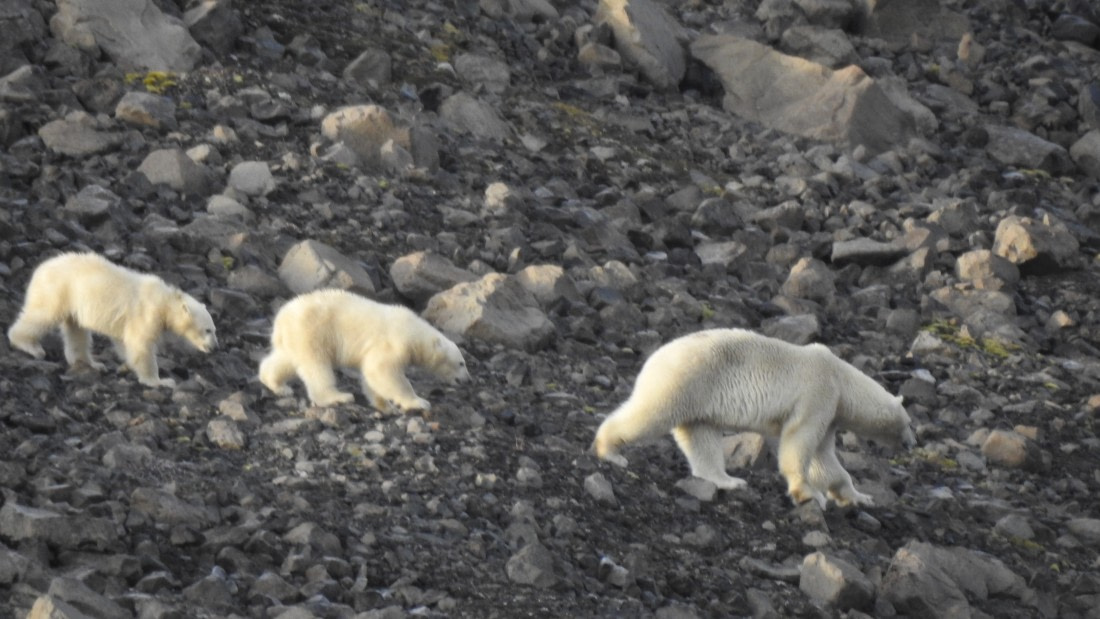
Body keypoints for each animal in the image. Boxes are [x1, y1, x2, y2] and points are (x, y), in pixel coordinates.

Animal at [7, 252, 218, 388]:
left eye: (214, 329)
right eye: (208, 329)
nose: (215, 347)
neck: (166, 301)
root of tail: (40, 269)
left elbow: (123, 342)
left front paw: (127, 365)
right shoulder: (146, 313)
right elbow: (140, 344)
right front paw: (160, 381)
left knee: (76, 332)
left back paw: (91, 363)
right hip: (58, 290)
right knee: (42, 316)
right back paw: (29, 346)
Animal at [258, 288, 471, 412]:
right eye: (461, 363)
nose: (467, 380)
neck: (413, 331)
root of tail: (281, 317)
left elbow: (371, 376)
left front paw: (384, 405)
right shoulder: (394, 342)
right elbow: (382, 370)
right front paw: (418, 402)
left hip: (294, 338)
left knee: (285, 360)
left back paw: (278, 385)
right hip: (313, 332)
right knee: (317, 367)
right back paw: (337, 397)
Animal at [592, 328, 916, 509]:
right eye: (909, 423)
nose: (912, 443)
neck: (842, 378)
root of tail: (654, 358)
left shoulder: (830, 414)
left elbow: (825, 459)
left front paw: (860, 497)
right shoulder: (817, 395)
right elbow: (799, 442)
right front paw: (809, 494)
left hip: (699, 399)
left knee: (701, 438)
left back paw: (729, 481)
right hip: (685, 380)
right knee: (651, 415)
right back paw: (610, 450)